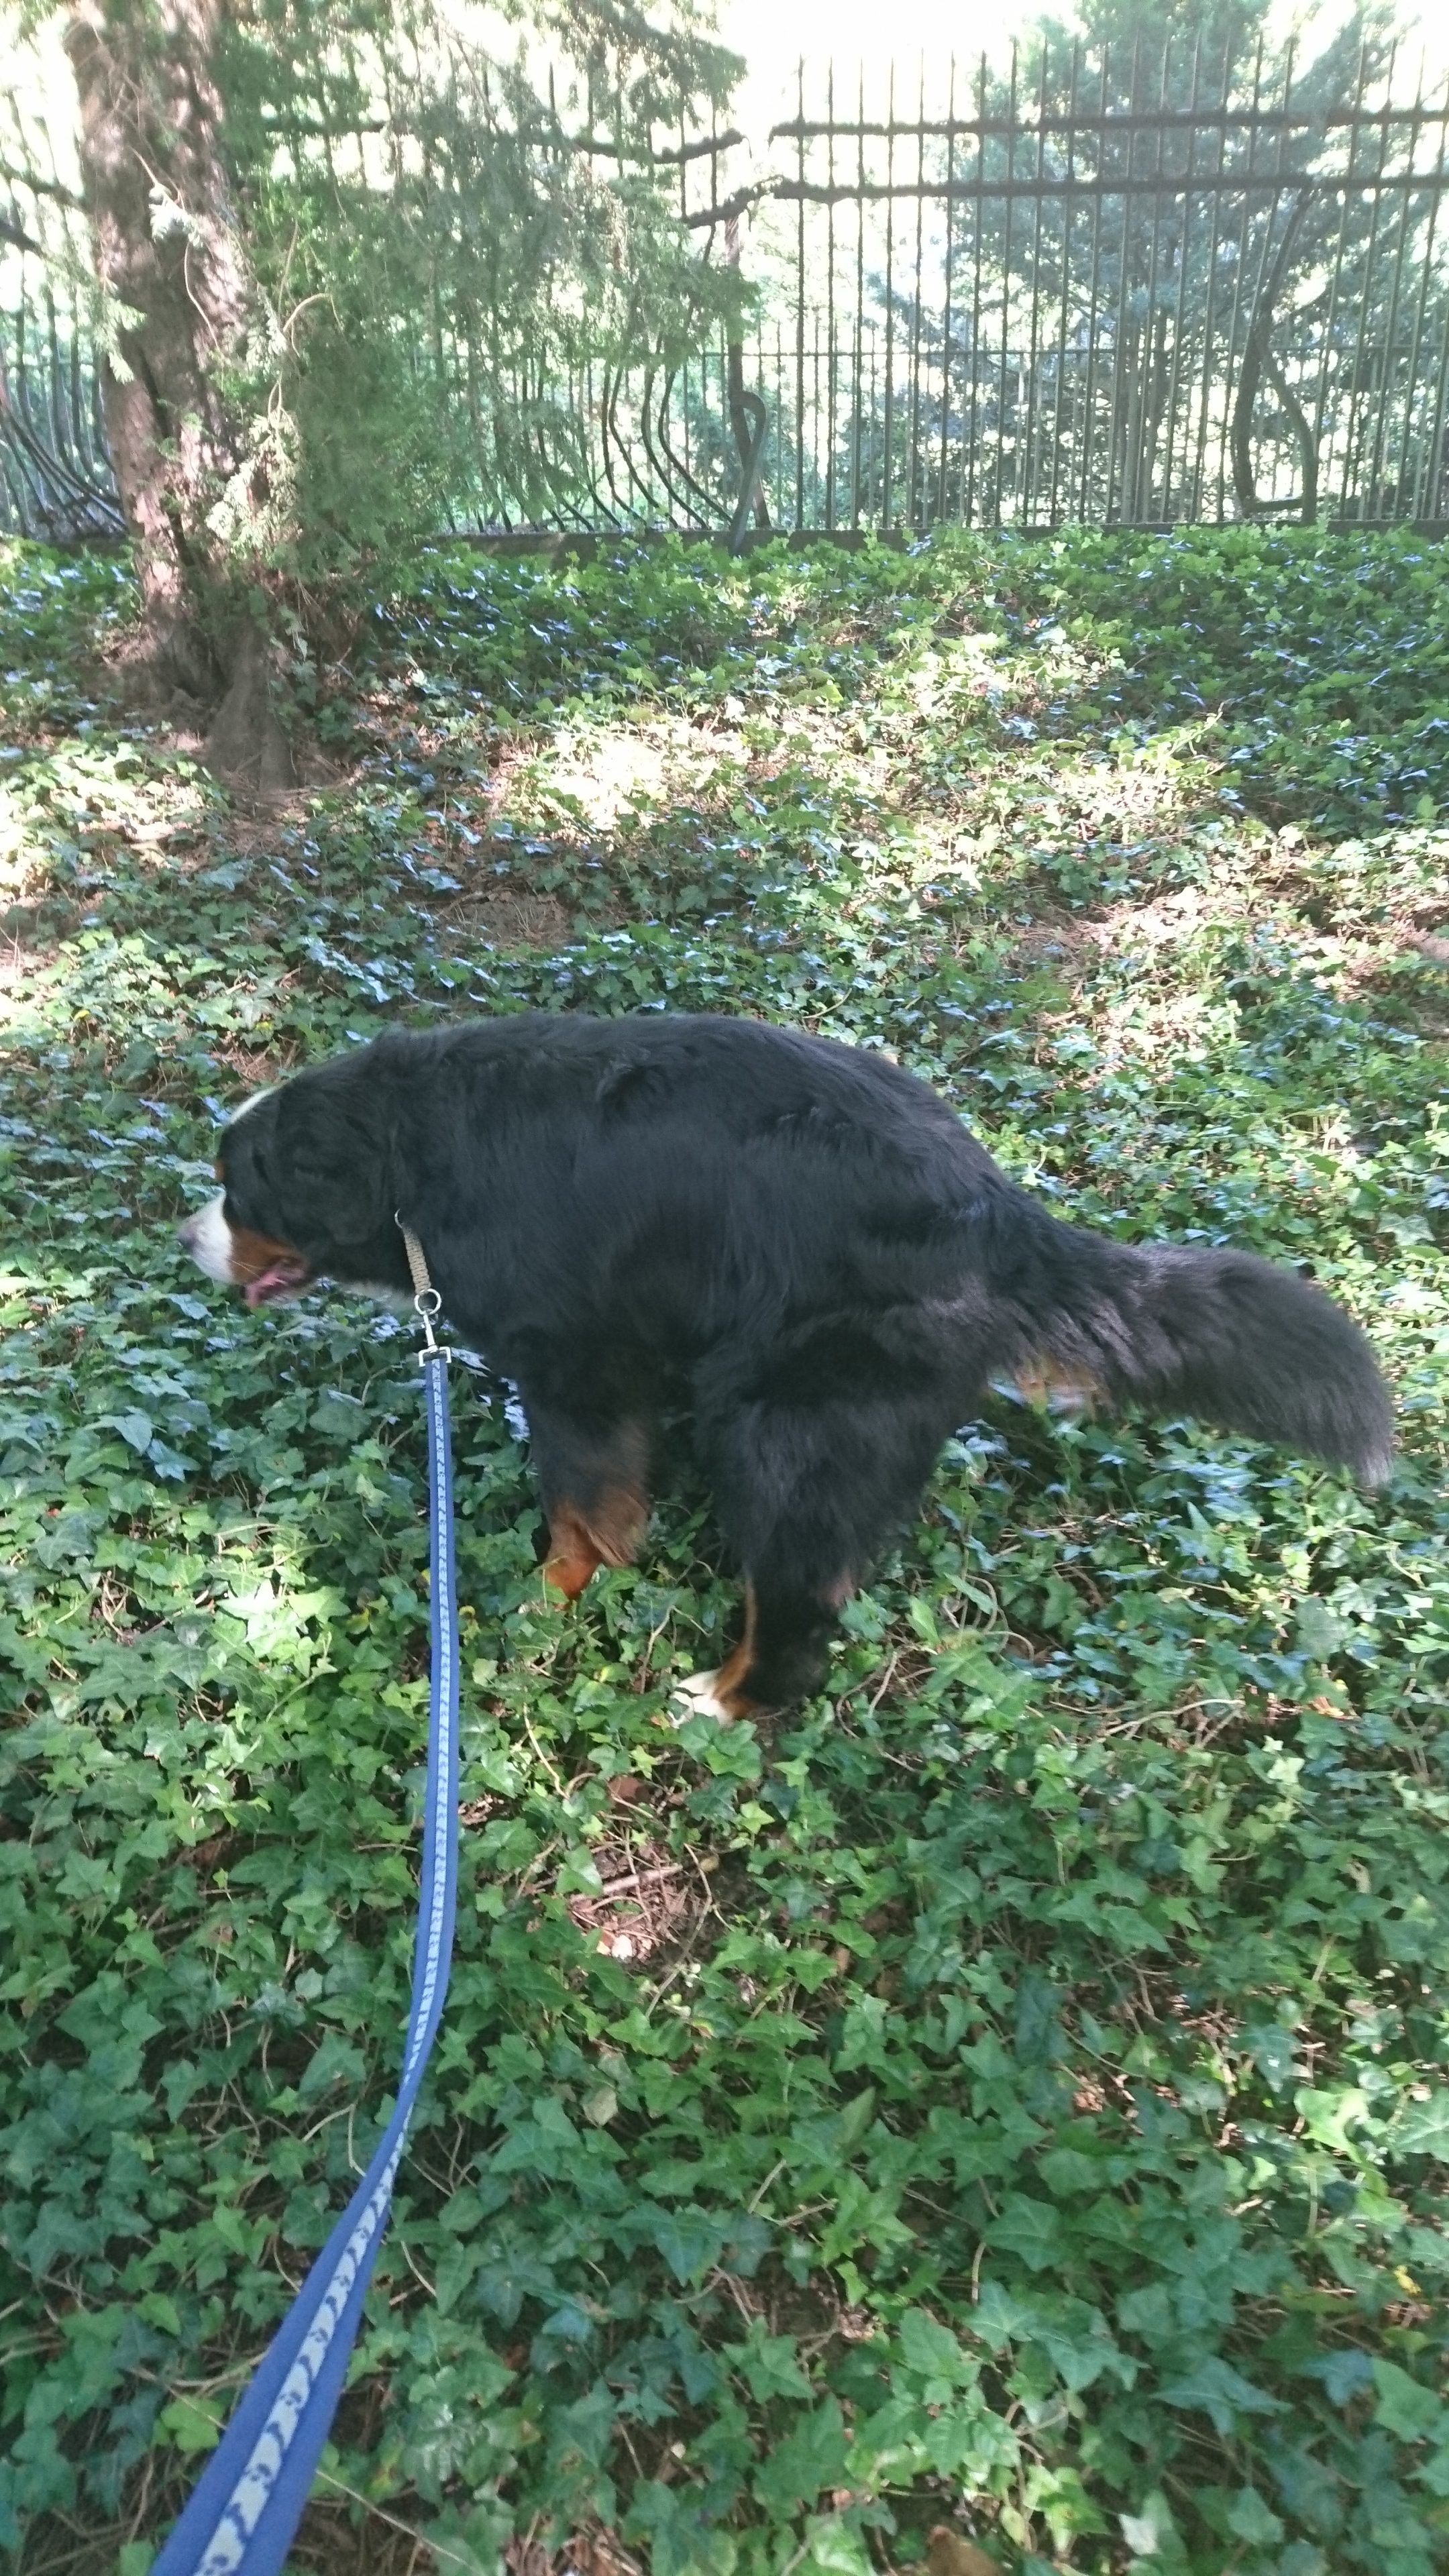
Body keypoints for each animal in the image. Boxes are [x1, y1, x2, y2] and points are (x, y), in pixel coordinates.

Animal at [180, 1011, 1393, 1716]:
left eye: (237, 1189)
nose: (187, 1239)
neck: (410, 1163)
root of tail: (999, 1212)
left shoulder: (575, 1360)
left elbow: (579, 1501)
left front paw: (547, 1596)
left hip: (782, 1418)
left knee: (799, 1597)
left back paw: (731, 1697)